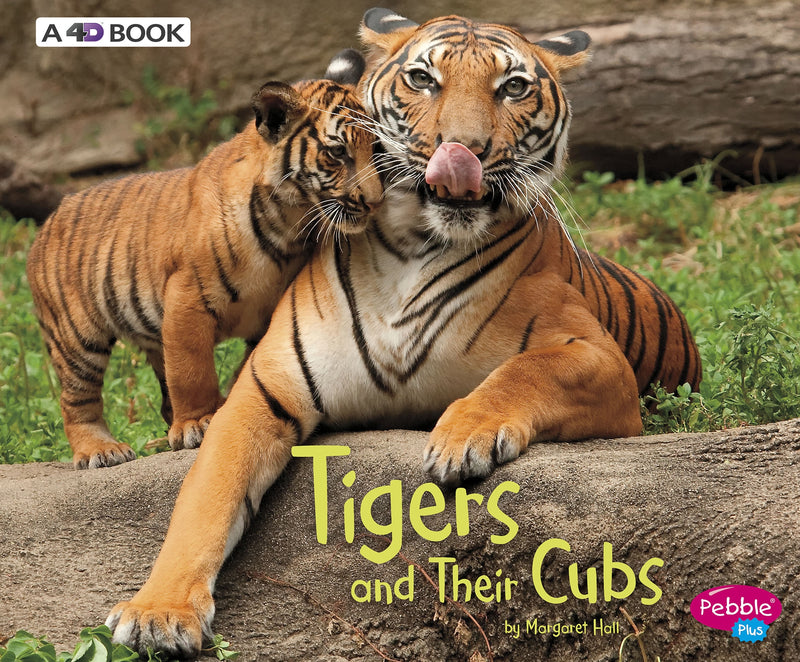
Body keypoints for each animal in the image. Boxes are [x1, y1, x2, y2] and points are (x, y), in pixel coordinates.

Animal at [26, 78, 382, 469]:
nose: (375, 201)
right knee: (77, 400)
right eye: (337, 153)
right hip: (77, 337)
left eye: (376, 148)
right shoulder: (188, 299)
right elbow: (192, 372)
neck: (291, 225)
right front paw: (196, 424)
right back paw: (101, 450)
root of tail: (47, 221)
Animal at [107, 9, 701, 656]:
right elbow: (206, 495)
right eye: (423, 79)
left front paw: (461, 437)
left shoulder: (596, 356)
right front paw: (158, 614)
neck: (414, 248)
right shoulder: (265, 389)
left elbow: (524, 370)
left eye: (513, 87)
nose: (463, 150)